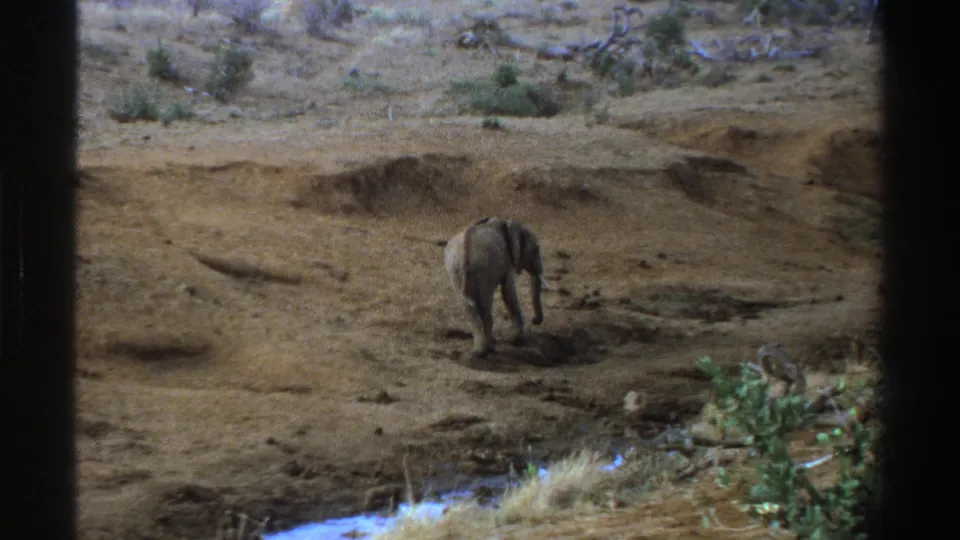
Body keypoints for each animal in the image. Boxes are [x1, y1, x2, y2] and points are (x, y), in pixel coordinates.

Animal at [443, 216, 549, 357]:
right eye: (535, 249)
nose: (534, 320)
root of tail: (465, 251)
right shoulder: (508, 260)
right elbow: (508, 292)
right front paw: (518, 341)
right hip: (484, 269)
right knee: (485, 304)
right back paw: (488, 349)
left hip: (455, 271)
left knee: (468, 305)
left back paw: (479, 350)